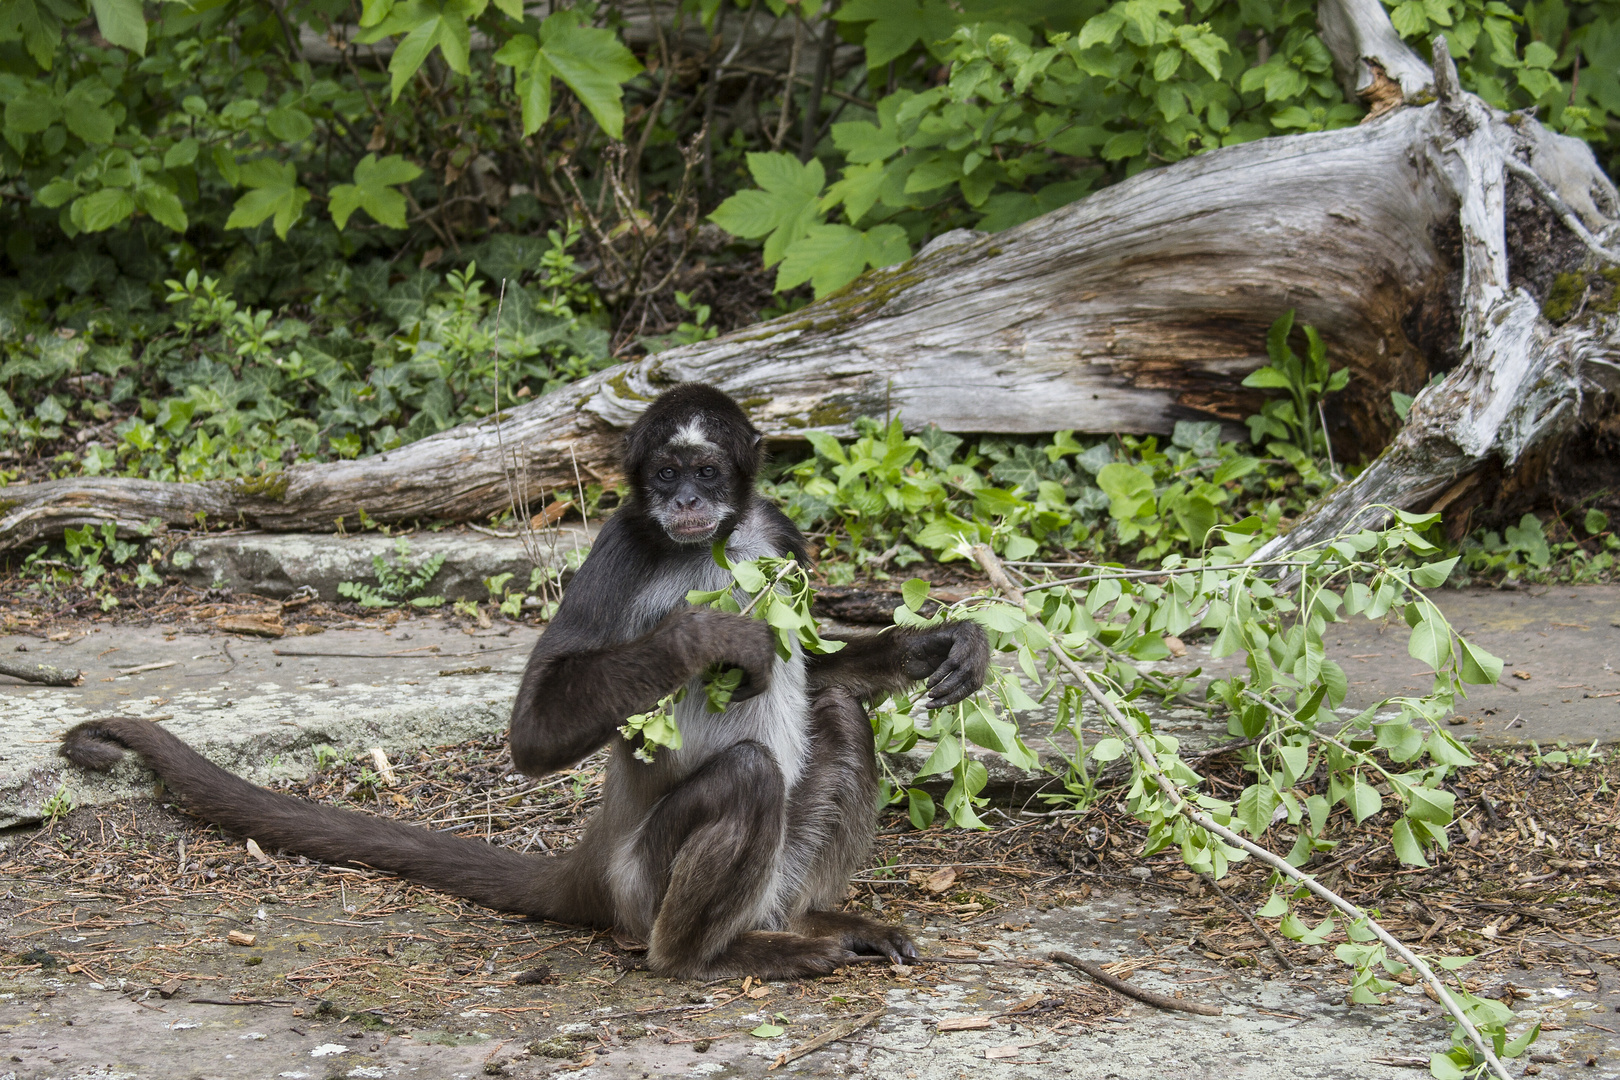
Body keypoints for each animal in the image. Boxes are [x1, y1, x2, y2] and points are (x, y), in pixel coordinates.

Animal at [63, 386, 984, 977]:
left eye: (710, 474)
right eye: (664, 477)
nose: (686, 501)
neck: (706, 548)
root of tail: (600, 864)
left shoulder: (776, 531)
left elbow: (817, 663)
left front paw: (935, 645)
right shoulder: (622, 542)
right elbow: (534, 731)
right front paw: (708, 633)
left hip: (765, 873)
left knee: (838, 711)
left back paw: (810, 917)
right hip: (644, 883)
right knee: (751, 778)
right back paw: (709, 959)